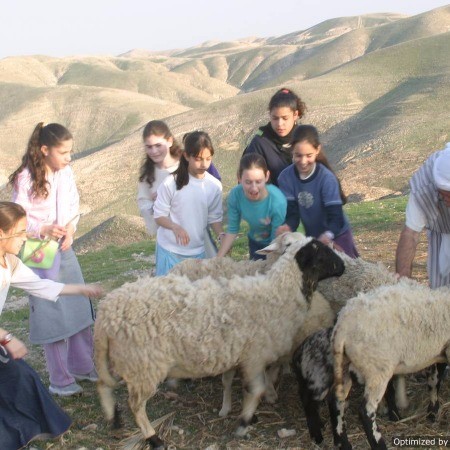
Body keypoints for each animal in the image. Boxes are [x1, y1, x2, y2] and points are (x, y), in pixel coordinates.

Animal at [95, 237, 344, 448]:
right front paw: (243, 422)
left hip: (125, 360)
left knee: (103, 384)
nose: (342, 266)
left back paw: (113, 418)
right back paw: (153, 438)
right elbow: (256, 389)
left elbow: (249, 386)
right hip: (143, 365)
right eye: (321, 253)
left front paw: (248, 415)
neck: (279, 293)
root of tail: (106, 312)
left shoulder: (244, 358)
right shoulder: (255, 355)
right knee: (136, 406)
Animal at [330, 280, 450, 448]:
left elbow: (433, 382)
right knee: (366, 411)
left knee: (336, 401)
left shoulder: (439, 353)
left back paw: (344, 443)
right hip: (377, 369)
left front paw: (432, 412)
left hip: (344, 365)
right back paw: (379, 444)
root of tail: (342, 328)